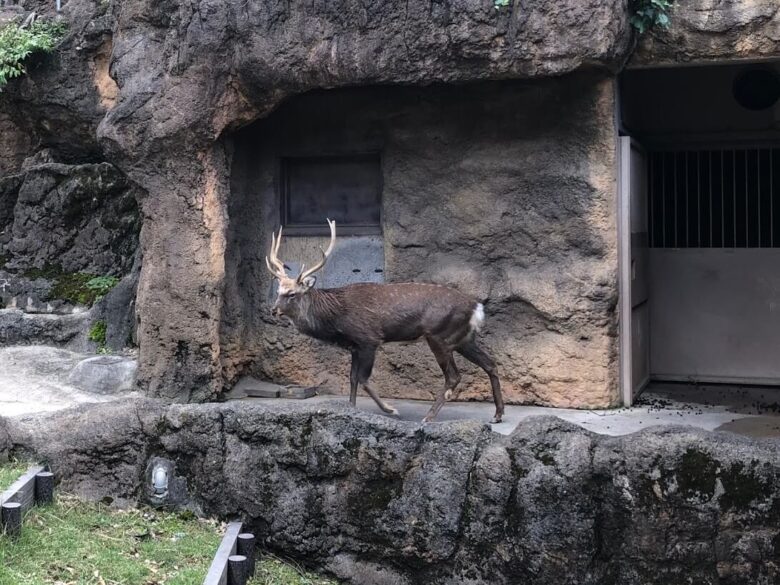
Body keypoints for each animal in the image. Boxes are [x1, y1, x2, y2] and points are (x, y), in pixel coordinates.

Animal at [266, 218, 502, 420]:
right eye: (278, 290)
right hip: (463, 338)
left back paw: (428, 417)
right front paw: (351, 409)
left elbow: (363, 379)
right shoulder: (354, 346)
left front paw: (391, 409)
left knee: (453, 376)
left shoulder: (369, 338)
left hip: (439, 335)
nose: (274, 310)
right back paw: (498, 414)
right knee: (490, 363)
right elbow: (352, 378)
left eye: (292, 294)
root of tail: (477, 308)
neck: (337, 318)